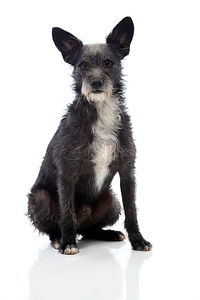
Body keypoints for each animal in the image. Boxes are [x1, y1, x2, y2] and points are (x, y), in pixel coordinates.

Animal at [27, 17, 152, 255]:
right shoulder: (67, 173)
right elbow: (67, 213)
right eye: (82, 65)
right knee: (60, 225)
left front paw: (138, 240)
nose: (95, 83)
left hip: (112, 201)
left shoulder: (127, 172)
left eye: (108, 62)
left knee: (90, 230)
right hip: (39, 197)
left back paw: (108, 234)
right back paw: (59, 238)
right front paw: (67, 243)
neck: (101, 110)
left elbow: (132, 211)